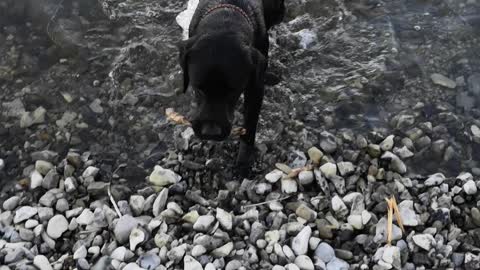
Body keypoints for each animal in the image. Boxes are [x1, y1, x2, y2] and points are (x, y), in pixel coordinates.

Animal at [180, 0, 284, 174]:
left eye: (233, 91)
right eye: (198, 88)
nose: (210, 133)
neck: (226, 17)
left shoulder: (255, 89)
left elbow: (250, 124)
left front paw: (243, 160)